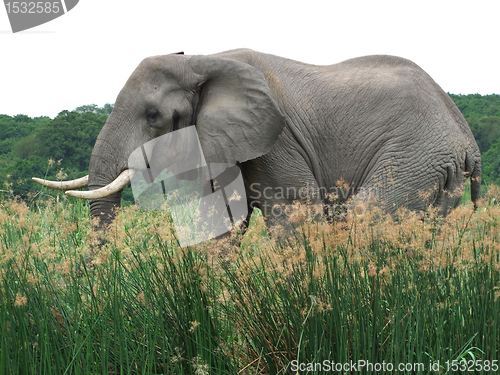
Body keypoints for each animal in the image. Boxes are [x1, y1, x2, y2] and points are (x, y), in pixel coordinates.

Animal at [34, 48, 480, 234]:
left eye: (153, 116)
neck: (202, 60)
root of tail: (467, 137)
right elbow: (222, 219)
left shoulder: (278, 141)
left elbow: (295, 214)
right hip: (433, 169)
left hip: (414, 154)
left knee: (368, 217)